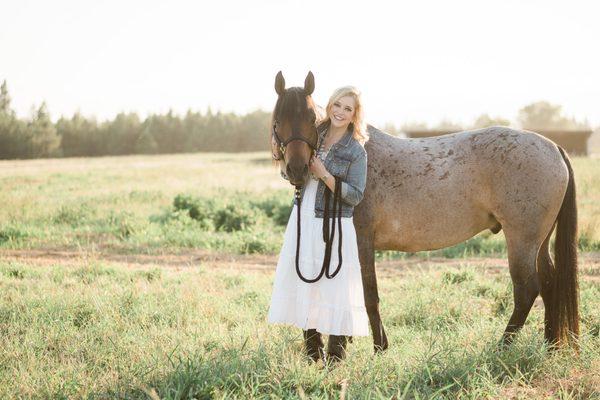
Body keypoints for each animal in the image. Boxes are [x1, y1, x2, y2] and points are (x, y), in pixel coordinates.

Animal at [270, 71, 576, 356]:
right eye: (277, 120)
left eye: (311, 118)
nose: (297, 169)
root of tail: (553, 147)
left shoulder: (360, 242)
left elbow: (368, 295)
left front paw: (375, 347)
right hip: (538, 242)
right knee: (549, 282)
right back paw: (550, 346)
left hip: (521, 240)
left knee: (527, 289)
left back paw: (502, 347)